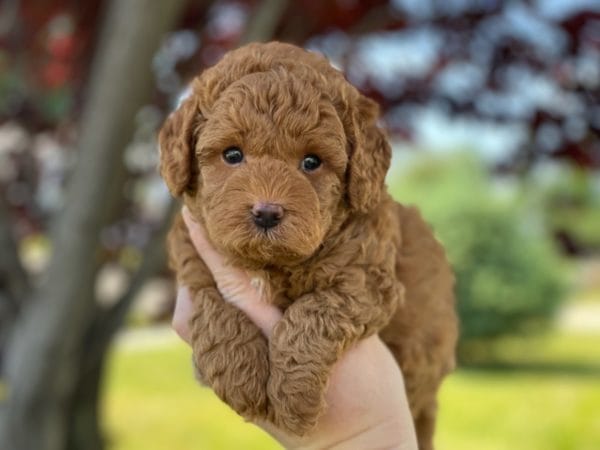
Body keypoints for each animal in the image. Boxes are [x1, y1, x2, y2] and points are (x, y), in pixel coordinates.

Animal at [159, 40, 460, 448]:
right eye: (232, 154)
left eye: (312, 162)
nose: (266, 212)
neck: (271, 265)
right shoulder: (193, 255)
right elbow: (214, 304)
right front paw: (240, 379)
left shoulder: (365, 279)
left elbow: (313, 312)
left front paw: (294, 398)